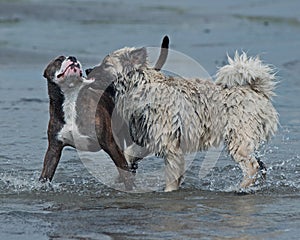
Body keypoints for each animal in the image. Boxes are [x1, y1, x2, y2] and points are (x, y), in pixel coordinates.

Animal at [39, 35, 170, 189]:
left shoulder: (110, 144)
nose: (73, 57)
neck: (71, 98)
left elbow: (124, 171)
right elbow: (46, 173)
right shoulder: (54, 148)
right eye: (59, 60)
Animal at [102, 47, 278, 192]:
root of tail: (256, 91)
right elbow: (129, 154)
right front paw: (123, 173)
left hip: (238, 140)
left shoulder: (169, 146)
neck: (142, 86)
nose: (93, 71)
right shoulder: (150, 137)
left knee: (252, 168)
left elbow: (172, 176)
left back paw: (241, 188)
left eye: (106, 65)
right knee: (261, 166)